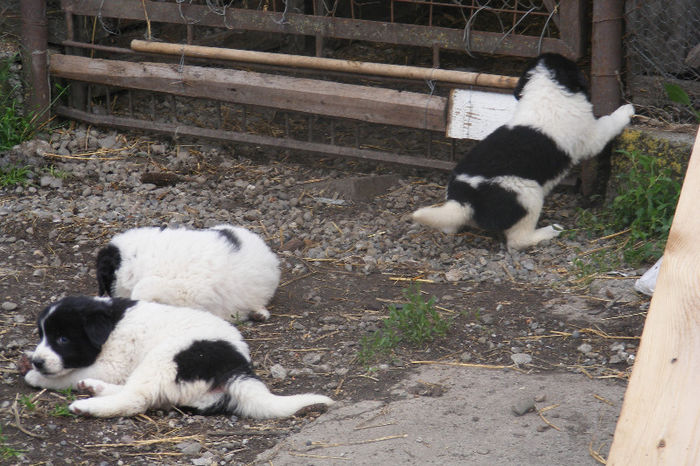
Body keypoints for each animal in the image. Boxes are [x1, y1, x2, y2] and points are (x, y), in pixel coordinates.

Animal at [25, 296, 334, 420]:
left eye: (63, 340)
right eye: (41, 335)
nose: (37, 361)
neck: (111, 323)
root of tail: (235, 368)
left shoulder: (111, 363)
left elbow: (69, 372)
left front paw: (35, 375)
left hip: (165, 356)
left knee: (136, 399)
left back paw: (88, 406)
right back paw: (93, 389)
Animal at [410, 52, 636, 249]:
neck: (547, 91)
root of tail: (465, 202)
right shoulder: (590, 136)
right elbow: (608, 123)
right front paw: (626, 110)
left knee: (448, 225)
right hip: (528, 194)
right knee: (519, 240)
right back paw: (550, 231)